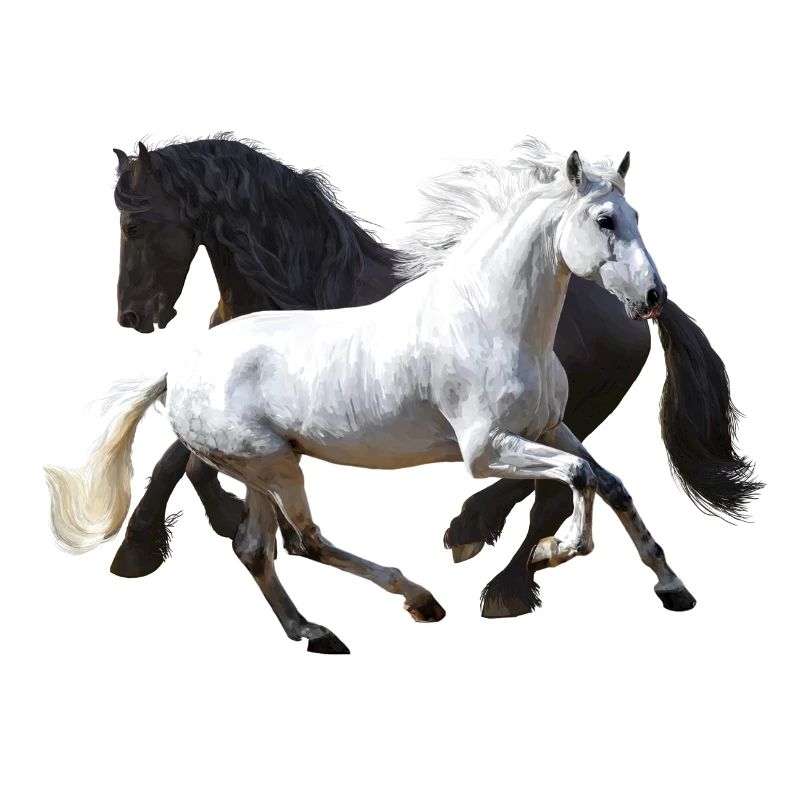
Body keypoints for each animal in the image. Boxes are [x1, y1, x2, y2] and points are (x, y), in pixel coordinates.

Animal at [47, 144, 743, 653]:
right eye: (605, 221)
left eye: (636, 218)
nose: (650, 297)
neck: (491, 316)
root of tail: (179, 369)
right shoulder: (485, 450)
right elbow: (579, 479)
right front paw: (558, 553)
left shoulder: (551, 429)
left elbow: (610, 482)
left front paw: (673, 586)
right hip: (273, 464)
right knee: (300, 541)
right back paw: (422, 599)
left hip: (264, 467)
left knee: (258, 546)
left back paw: (320, 628)